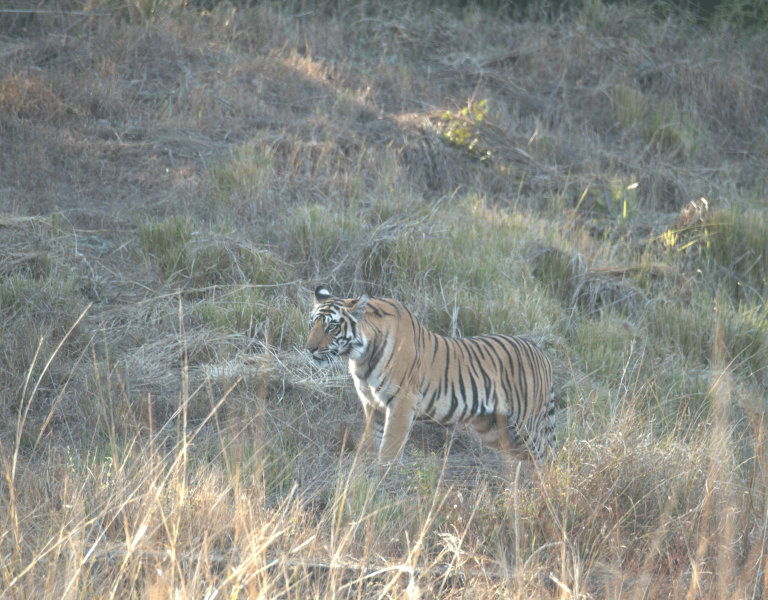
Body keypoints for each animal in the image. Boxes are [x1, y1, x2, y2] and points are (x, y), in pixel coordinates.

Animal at [308, 286, 560, 464]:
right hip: (494, 428)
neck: (360, 357)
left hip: (526, 426)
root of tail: (543, 355)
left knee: (544, 458)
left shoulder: (401, 402)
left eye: (332, 327)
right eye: (312, 324)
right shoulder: (372, 404)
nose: (309, 348)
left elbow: (390, 446)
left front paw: (384, 475)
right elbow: (371, 440)